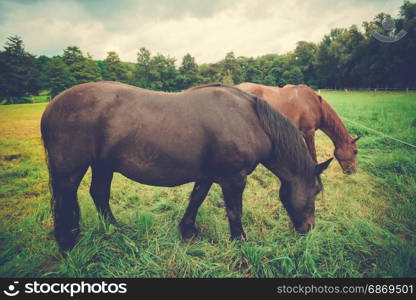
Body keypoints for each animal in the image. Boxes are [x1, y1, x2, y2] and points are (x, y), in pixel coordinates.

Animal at [39, 81, 332, 251]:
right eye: (316, 191)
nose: (309, 227)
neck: (251, 121)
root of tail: (52, 105)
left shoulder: (209, 174)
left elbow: (196, 198)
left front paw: (188, 230)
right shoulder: (233, 178)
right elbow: (234, 211)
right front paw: (240, 242)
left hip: (102, 165)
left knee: (99, 194)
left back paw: (115, 229)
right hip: (69, 171)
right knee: (65, 201)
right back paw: (67, 243)